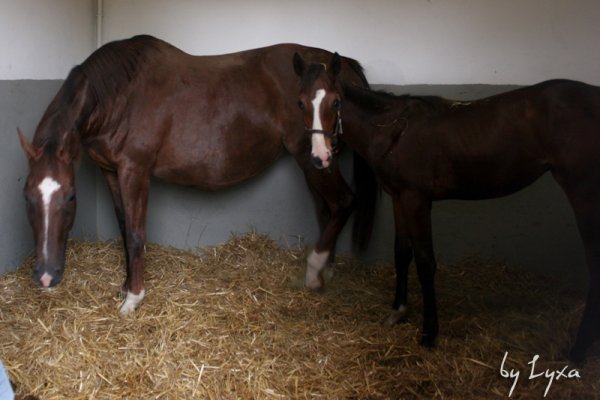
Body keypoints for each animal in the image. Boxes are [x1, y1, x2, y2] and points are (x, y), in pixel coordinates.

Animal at [18, 34, 378, 314]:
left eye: (70, 196)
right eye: (27, 197)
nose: (46, 276)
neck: (121, 95)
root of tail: (344, 64)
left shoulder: (135, 171)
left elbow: (135, 234)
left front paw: (133, 298)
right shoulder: (110, 172)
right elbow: (123, 228)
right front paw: (125, 285)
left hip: (314, 158)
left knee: (343, 202)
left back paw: (314, 271)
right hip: (315, 162)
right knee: (327, 210)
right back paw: (325, 271)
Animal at [294, 51, 600, 360]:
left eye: (335, 102)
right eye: (301, 103)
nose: (319, 157)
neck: (393, 129)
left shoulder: (417, 200)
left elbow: (425, 262)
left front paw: (429, 333)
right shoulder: (399, 197)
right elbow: (402, 253)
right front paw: (398, 311)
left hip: (584, 193)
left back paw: (577, 351)